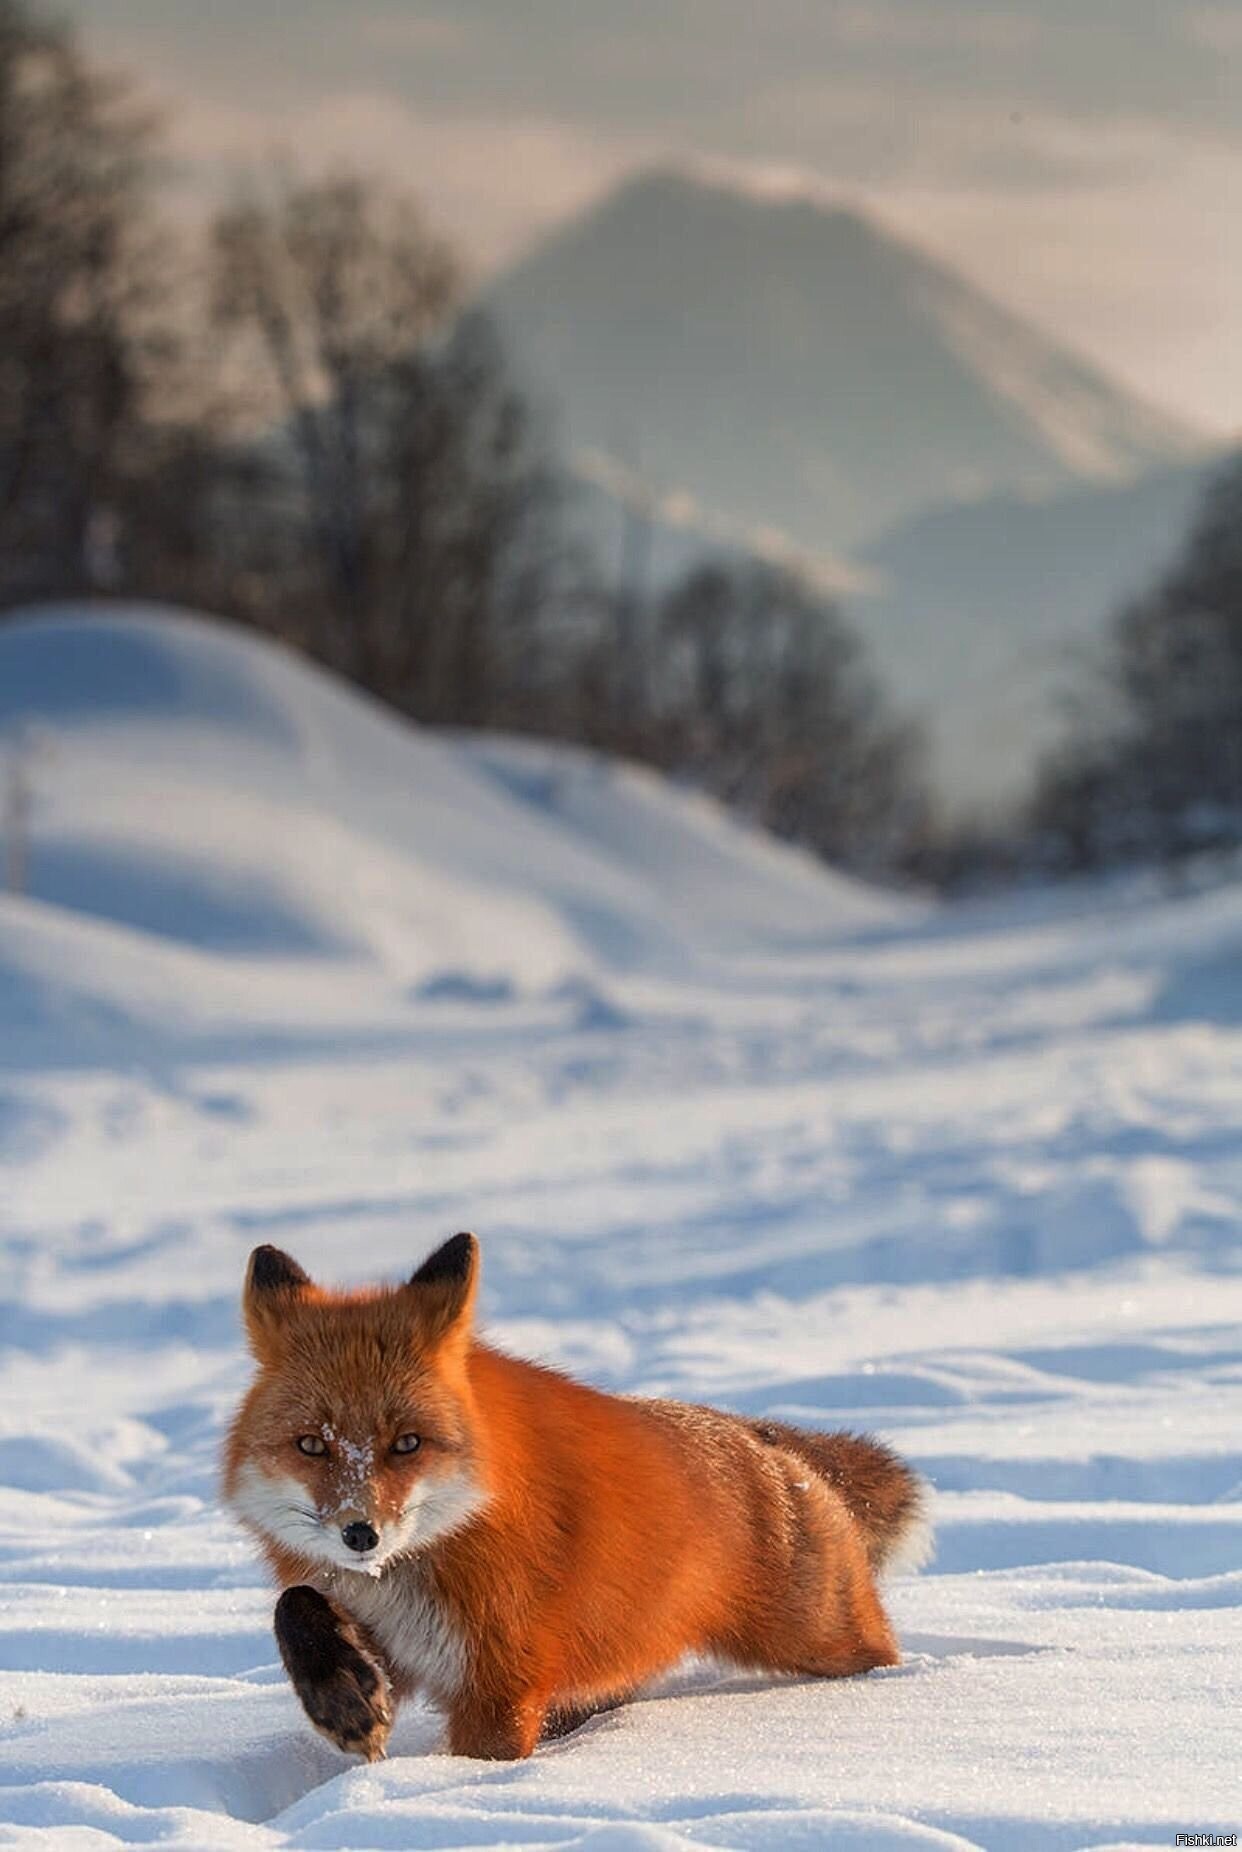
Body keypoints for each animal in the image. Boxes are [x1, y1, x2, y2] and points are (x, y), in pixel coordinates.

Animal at [223, 1237, 929, 1755]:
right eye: (311, 1445)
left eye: (407, 1443)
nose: (360, 1533)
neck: (411, 1569)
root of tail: (754, 1434)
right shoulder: (397, 1643)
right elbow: (295, 1605)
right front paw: (341, 1701)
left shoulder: (501, 1682)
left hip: (822, 1639)